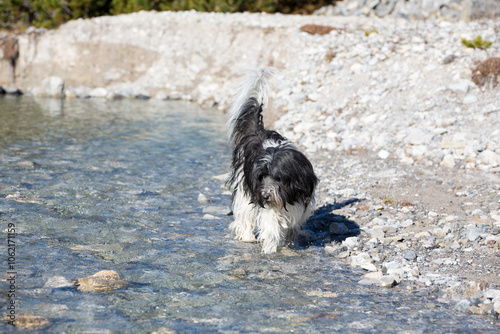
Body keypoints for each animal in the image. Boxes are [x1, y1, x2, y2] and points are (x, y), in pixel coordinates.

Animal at [226, 68, 316, 253]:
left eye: (278, 178)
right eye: (261, 177)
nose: (265, 195)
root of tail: (257, 132)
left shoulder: (301, 204)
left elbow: (293, 227)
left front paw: (291, 245)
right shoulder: (268, 204)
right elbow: (271, 226)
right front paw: (269, 250)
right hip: (243, 186)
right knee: (244, 213)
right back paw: (247, 236)